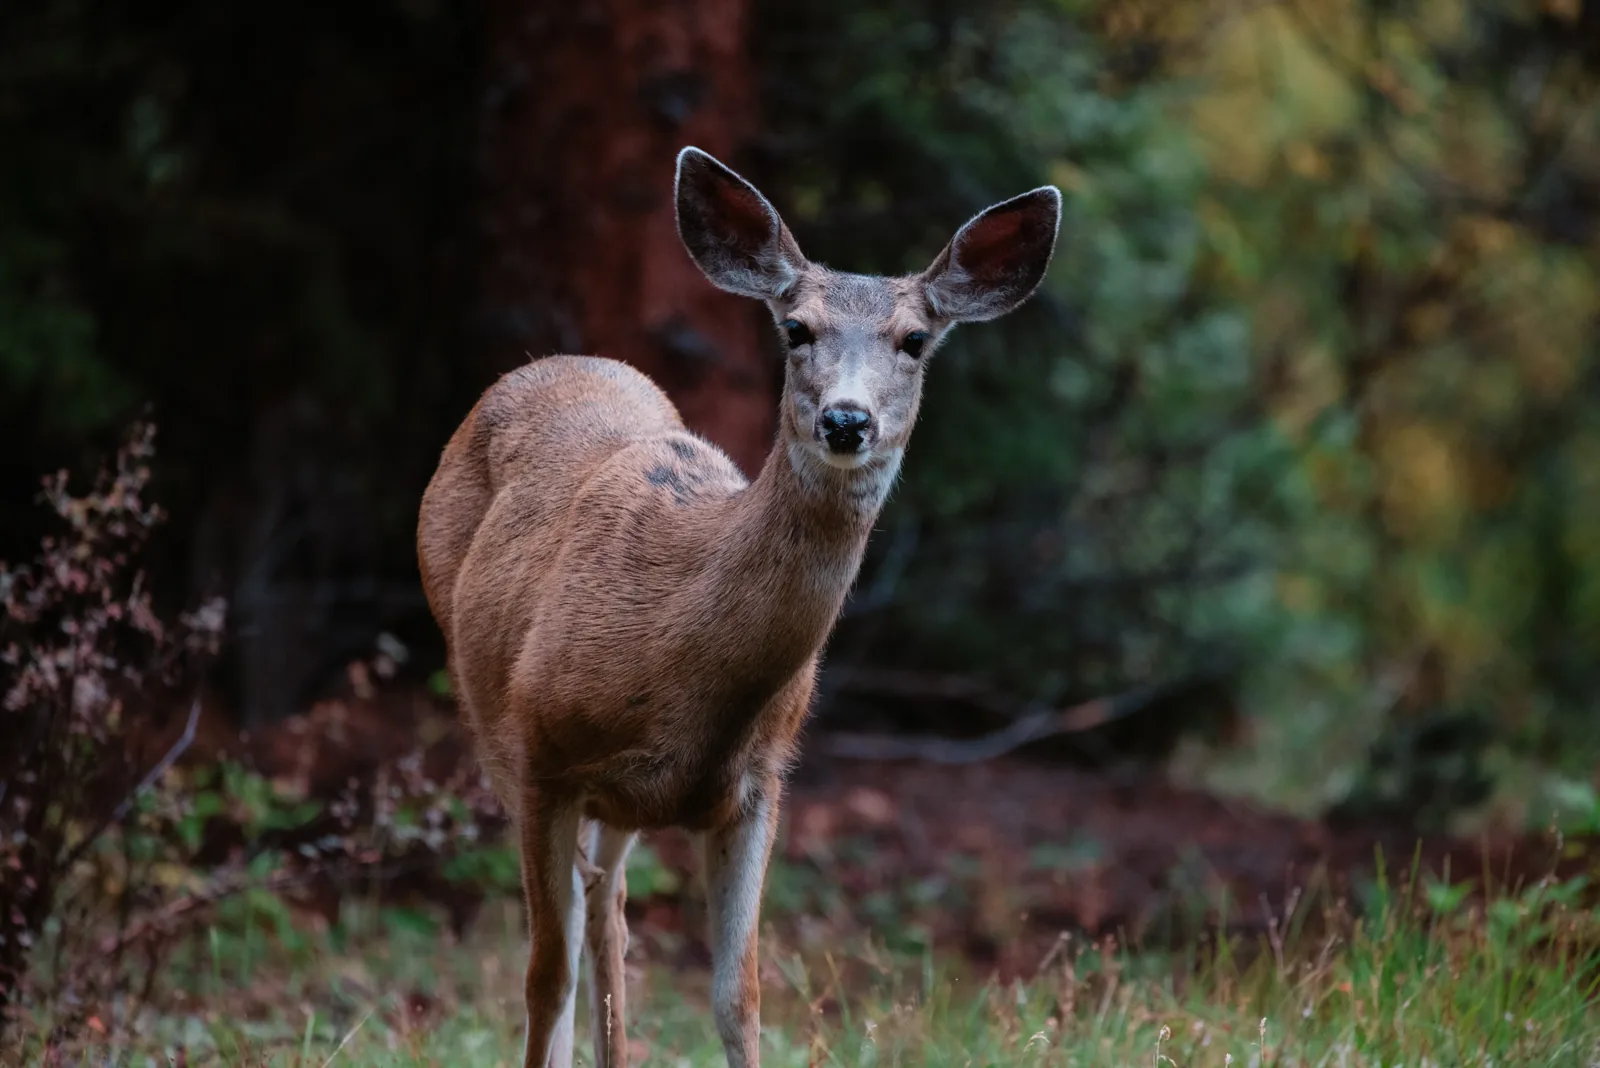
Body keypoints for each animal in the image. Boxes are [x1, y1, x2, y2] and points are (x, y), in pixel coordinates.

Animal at [416, 146, 1060, 1068]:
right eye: (796, 330)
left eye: (914, 340)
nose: (846, 420)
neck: (685, 679)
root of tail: (549, 362)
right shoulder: (541, 755)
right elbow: (543, 976)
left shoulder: (761, 779)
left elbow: (738, 995)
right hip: (486, 716)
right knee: (577, 929)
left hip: (620, 806)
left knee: (609, 910)